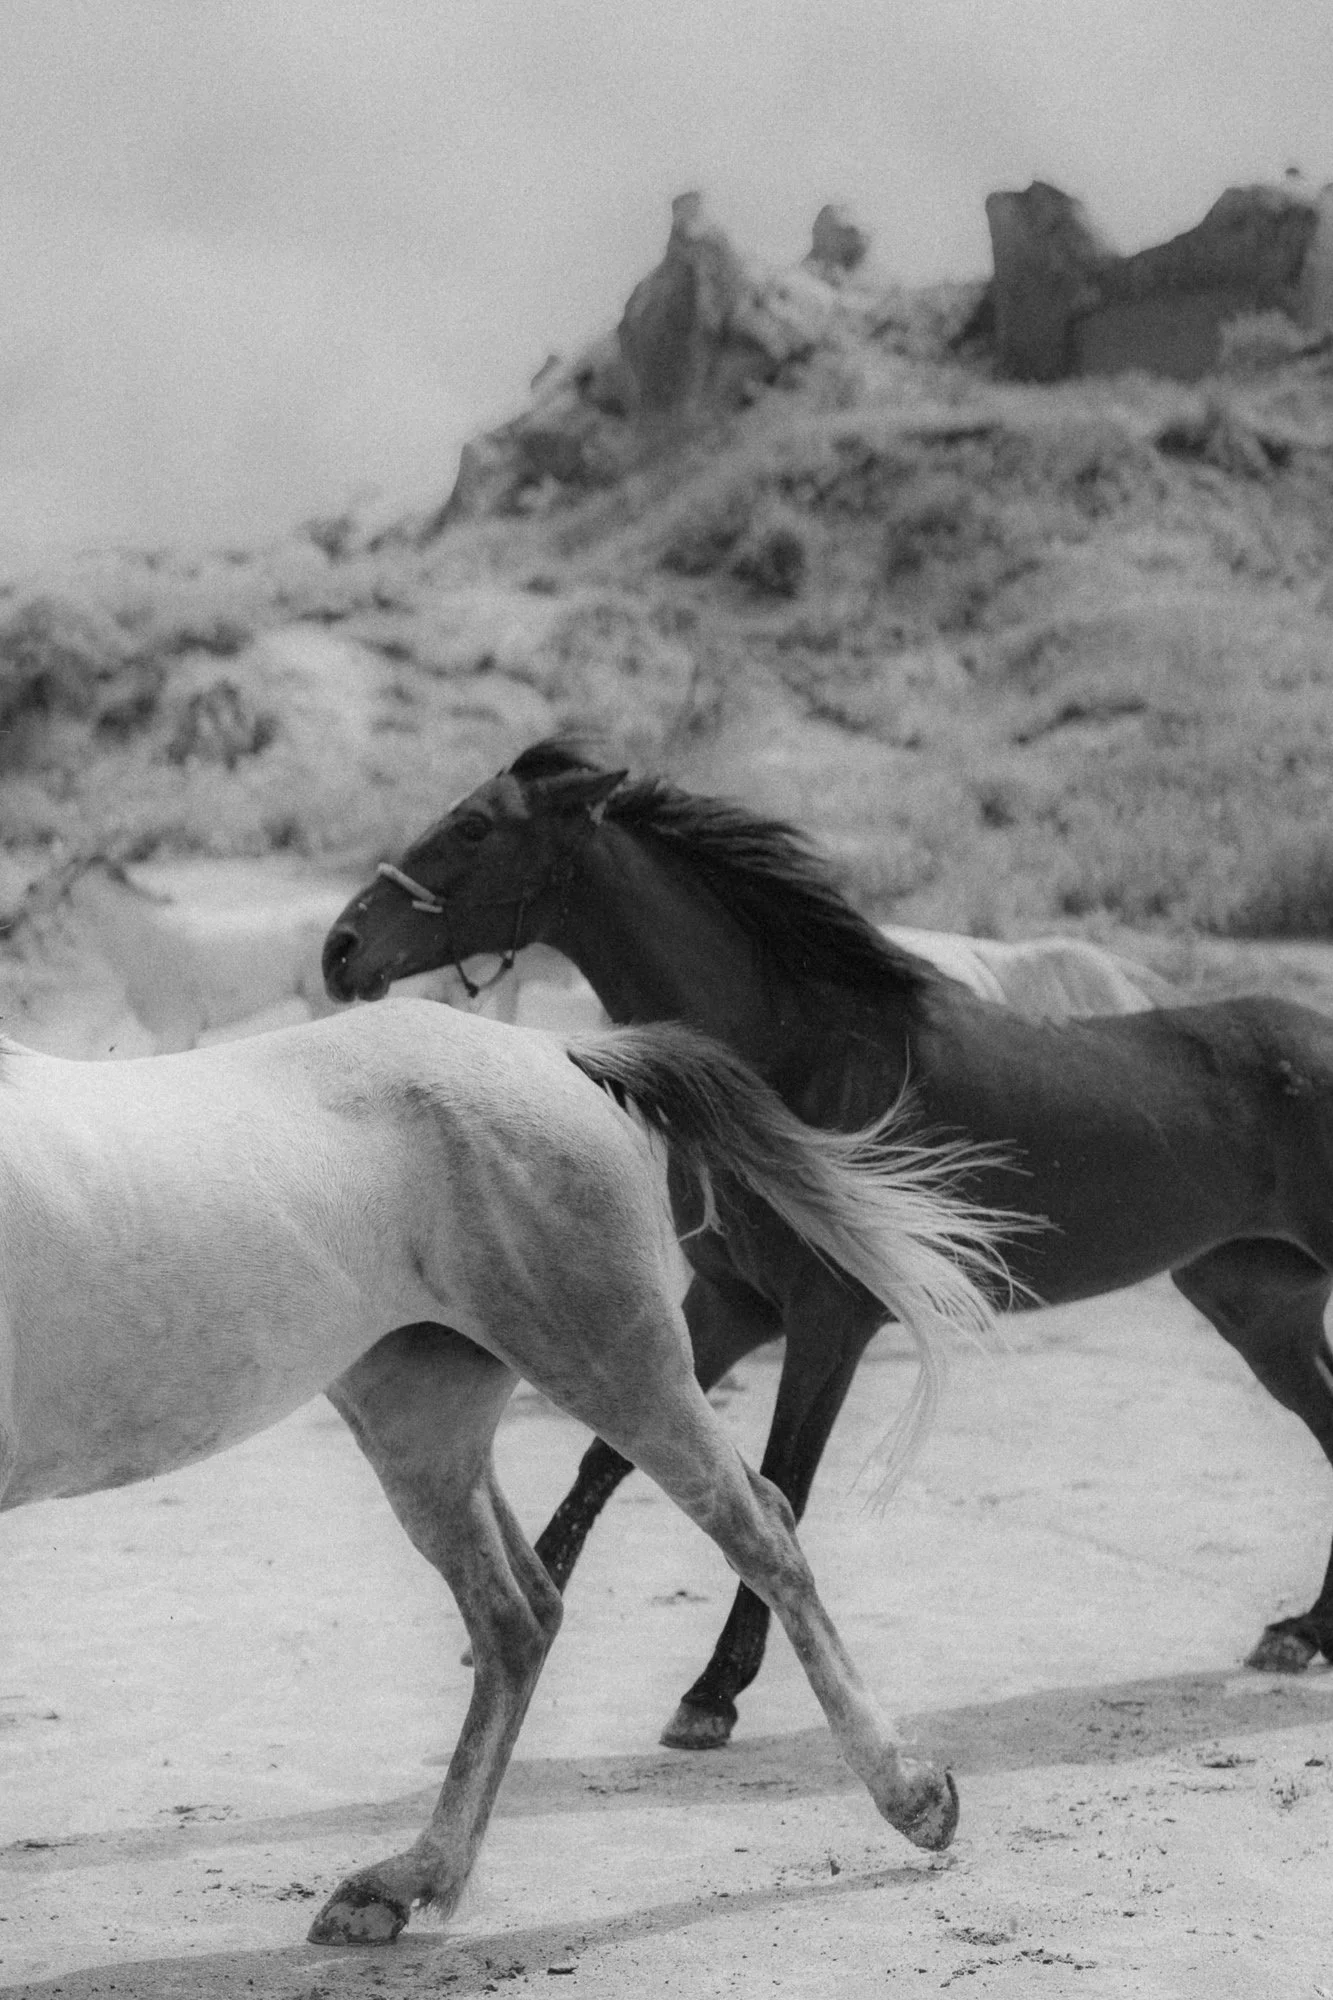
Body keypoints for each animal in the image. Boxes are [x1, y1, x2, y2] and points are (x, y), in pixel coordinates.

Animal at [0, 1001, 1008, 1942]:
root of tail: (554, 1050)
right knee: (518, 1618)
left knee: (757, 1533)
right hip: (423, 1424)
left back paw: (911, 1797)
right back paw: (407, 1883)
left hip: (612, 1364)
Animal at [323, 739, 1333, 1755]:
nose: (342, 950)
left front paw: (713, 1691)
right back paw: (1302, 1633)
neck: (799, 1058)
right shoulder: (728, 1304)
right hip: (1259, 1308)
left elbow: (780, 1489)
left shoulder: (828, 1321)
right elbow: (612, 1459)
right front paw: (527, 1610)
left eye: (474, 826)